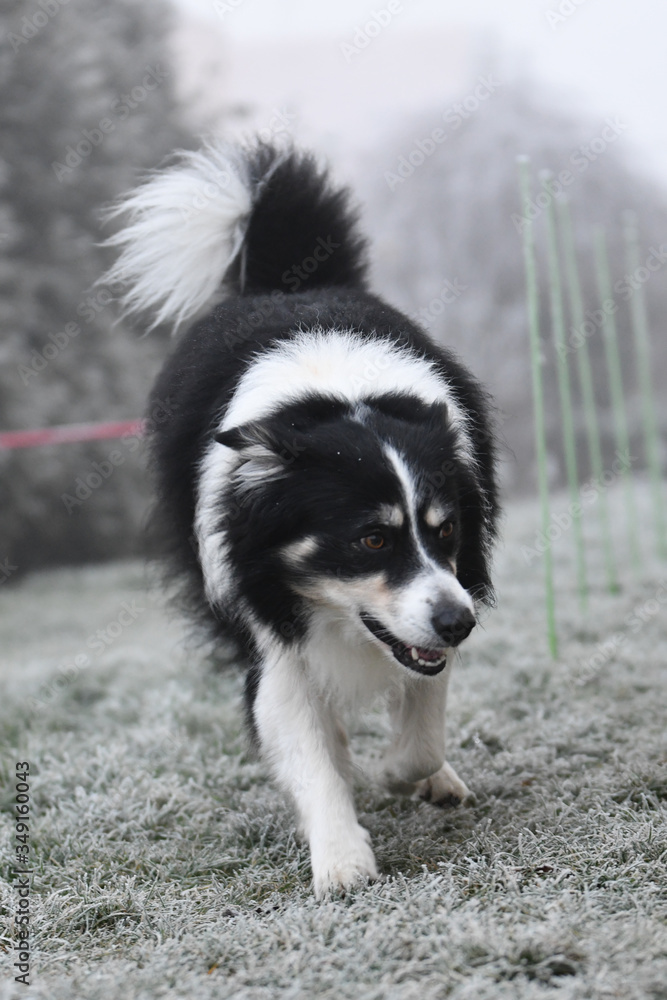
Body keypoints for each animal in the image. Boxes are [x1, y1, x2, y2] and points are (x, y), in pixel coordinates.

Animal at [104, 141, 498, 900]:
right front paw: (342, 860)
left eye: (445, 531)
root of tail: (289, 282)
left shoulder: (444, 597)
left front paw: (402, 771)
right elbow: (301, 734)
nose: (458, 624)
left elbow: (421, 711)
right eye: (371, 538)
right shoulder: (264, 615)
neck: (337, 397)